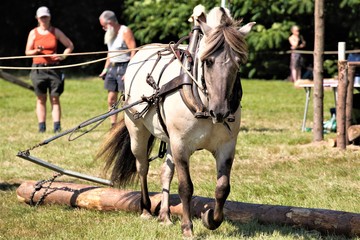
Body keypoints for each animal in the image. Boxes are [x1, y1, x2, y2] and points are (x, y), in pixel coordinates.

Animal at [98, 7, 255, 236]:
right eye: (208, 61)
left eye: (238, 63)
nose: (220, 112)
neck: (203, 105)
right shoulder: (181, 145)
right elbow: (185, 187)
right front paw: (187, 228)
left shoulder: (226, 146)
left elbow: (222, 188)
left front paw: (211, 219)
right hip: (138, 131)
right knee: (142, 167)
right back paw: (146, 209)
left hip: (169, 140)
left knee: (165, 172)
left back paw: (164, 215)